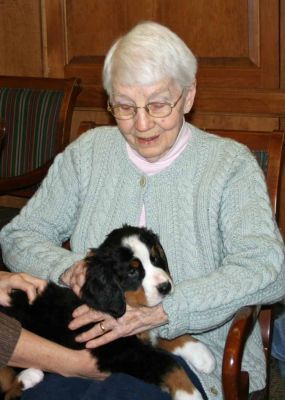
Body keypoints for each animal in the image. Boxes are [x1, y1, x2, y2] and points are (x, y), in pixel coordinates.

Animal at [0, 225, 213, 400]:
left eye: (155, 258)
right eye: (132, 272)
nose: (165, 287)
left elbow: (169, 336)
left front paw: (201, 354)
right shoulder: (120, 351)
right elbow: (168, 363)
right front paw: (190, 394)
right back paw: (30, 375)